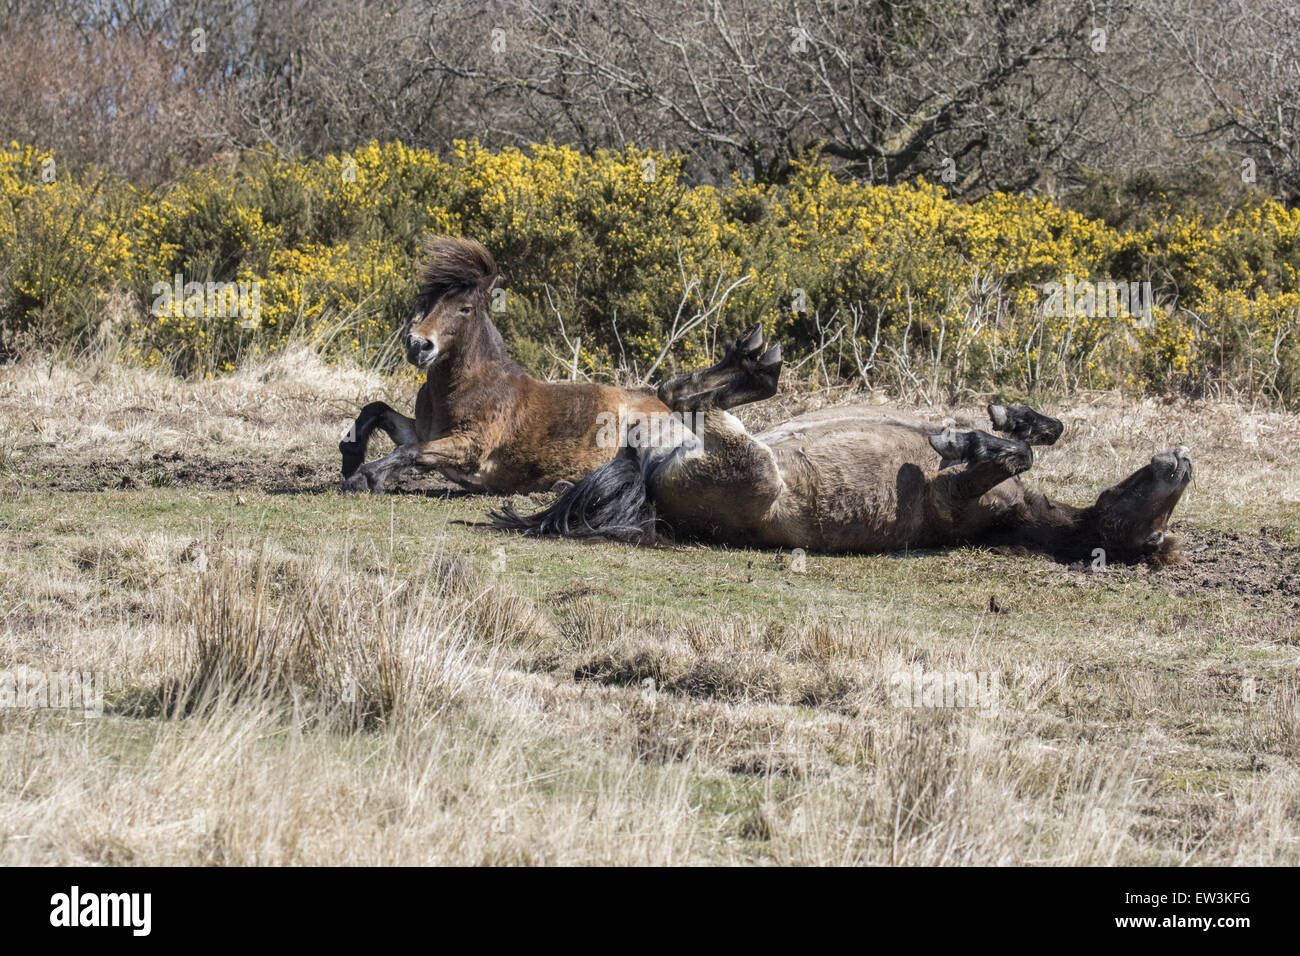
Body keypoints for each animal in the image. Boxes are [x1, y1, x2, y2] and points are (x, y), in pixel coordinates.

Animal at [340, 238, 670, 494]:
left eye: (465, 309)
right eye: (428, 302)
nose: (418, 345)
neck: (468, 385)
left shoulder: (470, 447)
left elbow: (409, 450)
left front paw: (364, 477)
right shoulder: (423, 432)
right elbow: (378, 410)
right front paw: (351, 456)